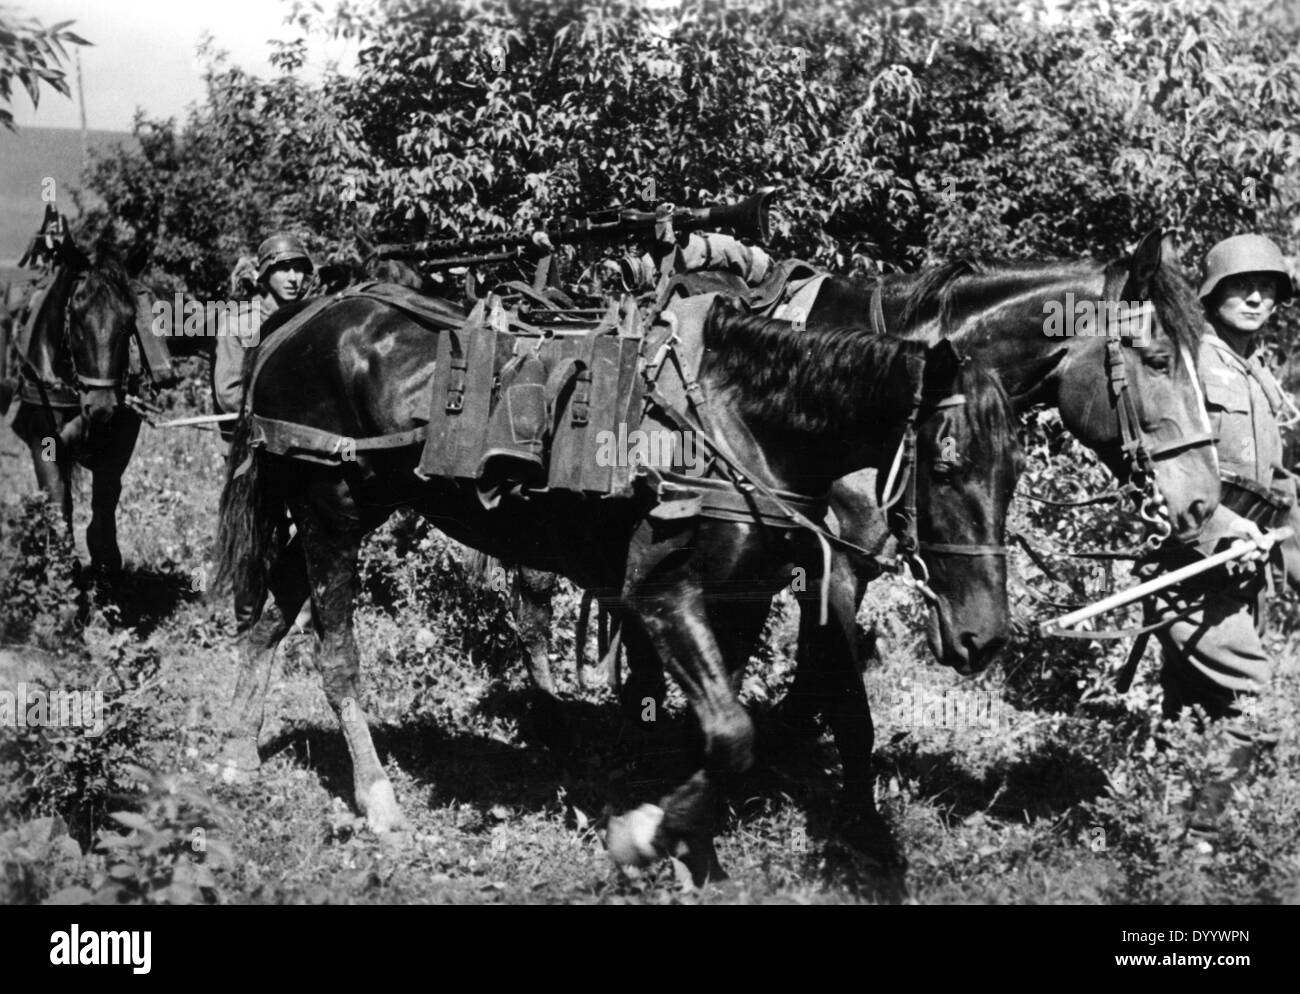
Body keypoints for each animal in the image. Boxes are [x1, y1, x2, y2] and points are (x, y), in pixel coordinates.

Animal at [7, 239, 148, 574]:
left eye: (129, 321)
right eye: (78, 319)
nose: (101, 407)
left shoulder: (121, 442)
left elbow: (106, 496)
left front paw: (105, 556)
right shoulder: (43, 441)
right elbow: (59, 501)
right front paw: (62, 565)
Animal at [215, 291, 1024, 878]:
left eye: (1013, 470)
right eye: (944, 464)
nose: (983, 638)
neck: (734, 423)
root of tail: (302, 320)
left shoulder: (745, 600)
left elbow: (721, 731)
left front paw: (692, 844)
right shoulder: (658, 597)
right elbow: (732, 735)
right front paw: (646, 835)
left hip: (340, 509)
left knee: (266, 621)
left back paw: (235, 754)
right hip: (331, 511)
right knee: (335, 657)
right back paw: (378, 801)